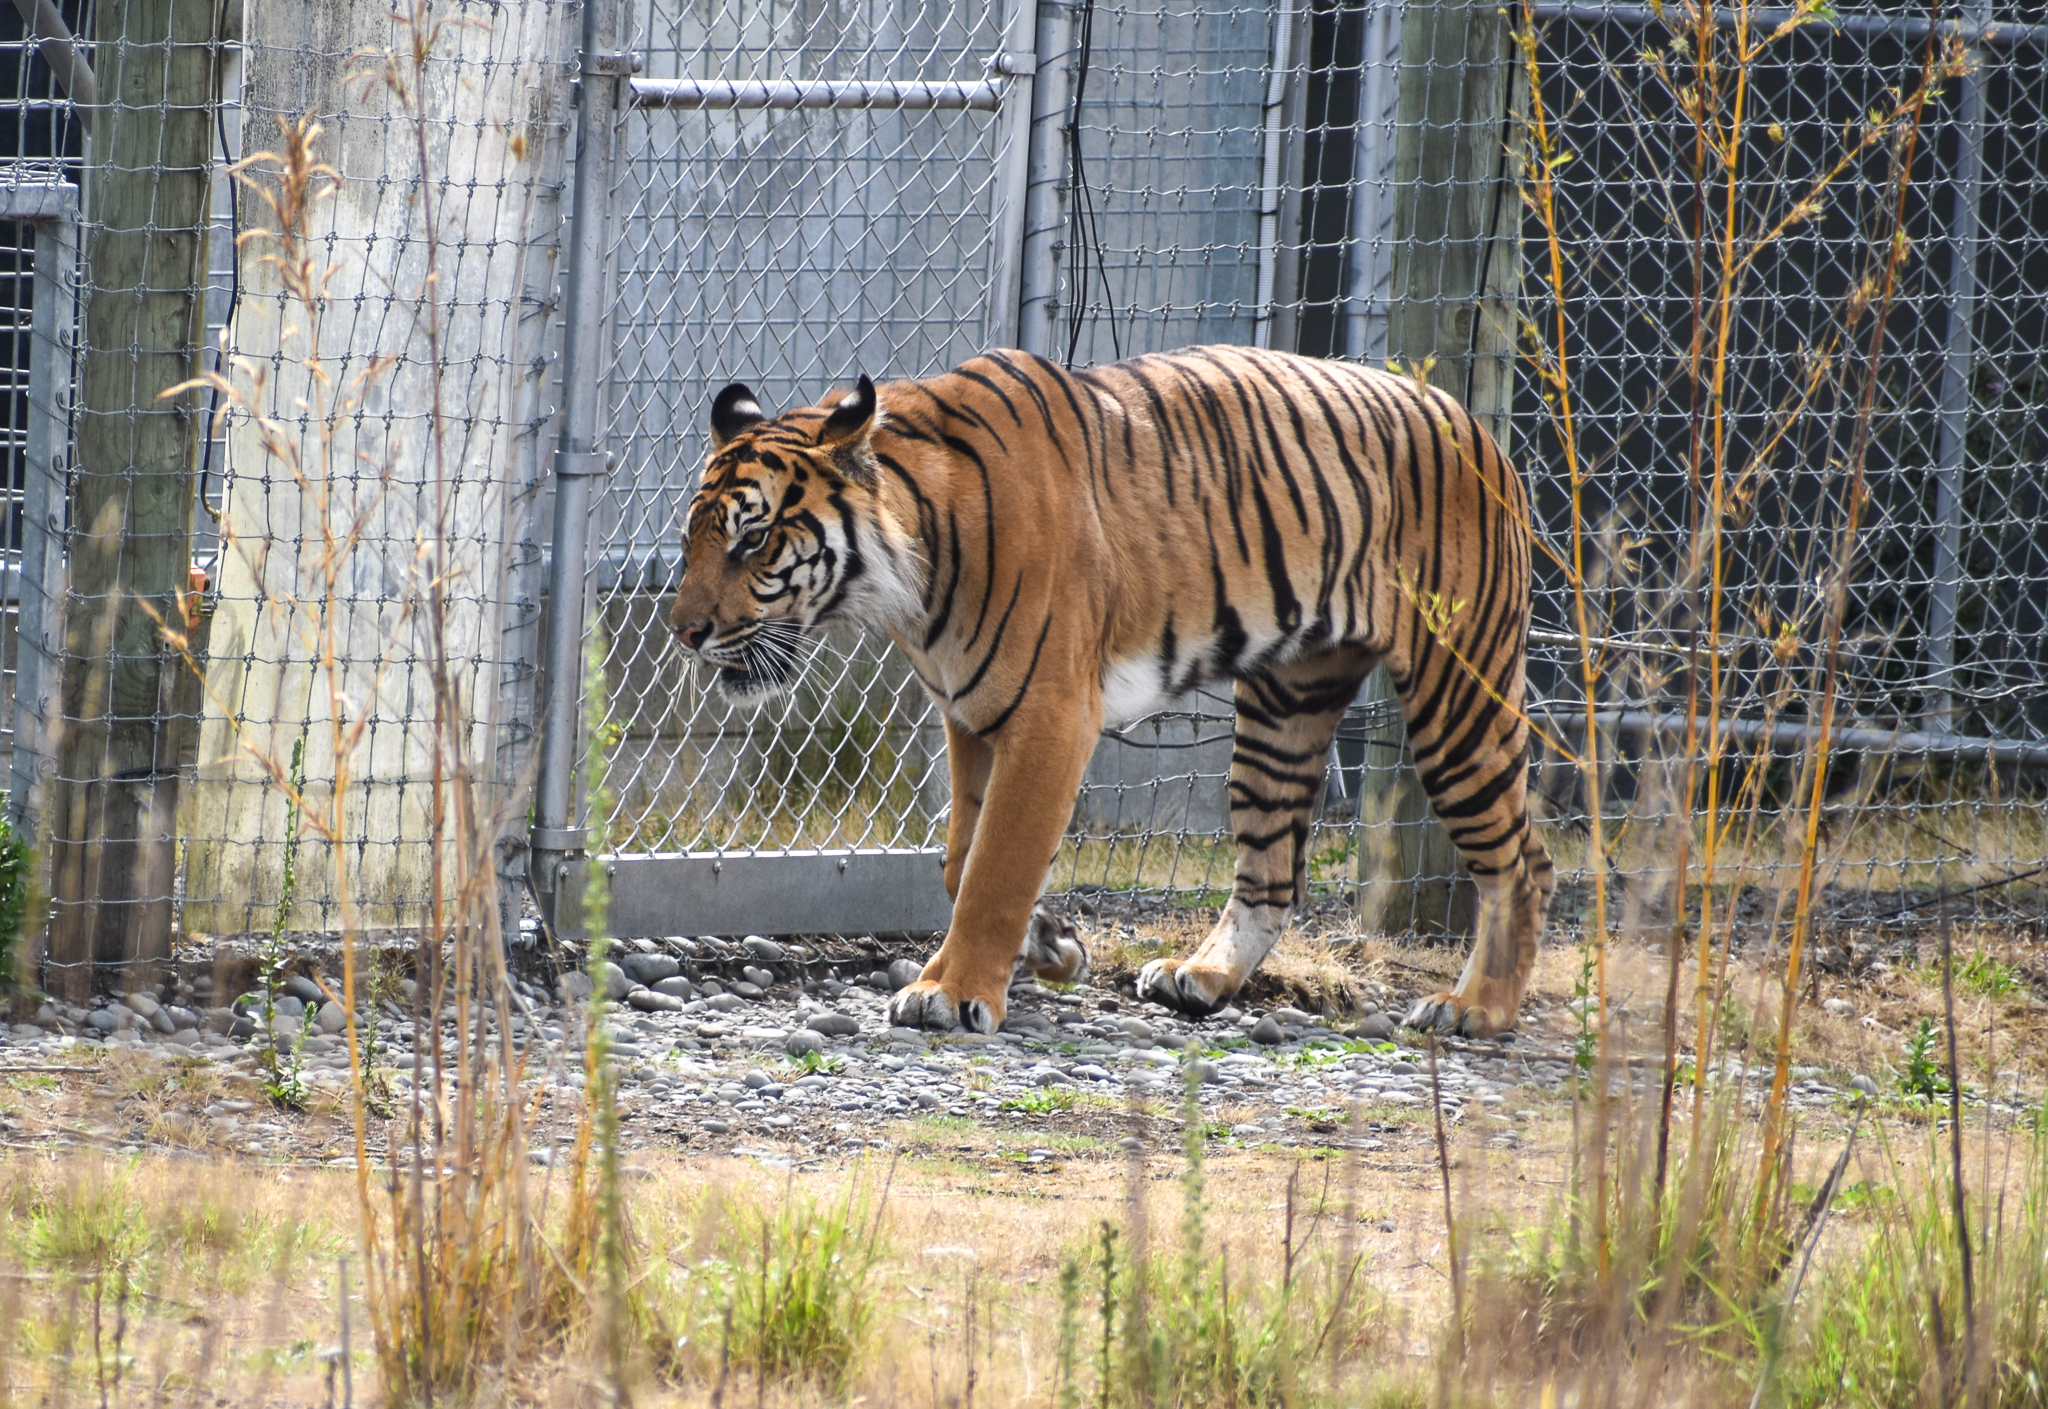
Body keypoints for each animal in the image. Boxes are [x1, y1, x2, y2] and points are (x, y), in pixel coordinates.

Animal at [667, 345, 1553, 1037]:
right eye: (692, 540)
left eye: (753, 540)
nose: (683, 631)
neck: (910, 578)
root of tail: (1478, 427)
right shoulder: (972, 713)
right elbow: (960, 858)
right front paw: (1053, 942)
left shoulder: (1051, 715)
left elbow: (996, 865)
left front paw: (949, 991)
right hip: (1284, 708)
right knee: (1272, 873)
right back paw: (1202, 977)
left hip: (1457, 691)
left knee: (1521, 858)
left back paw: (1475, 1008)